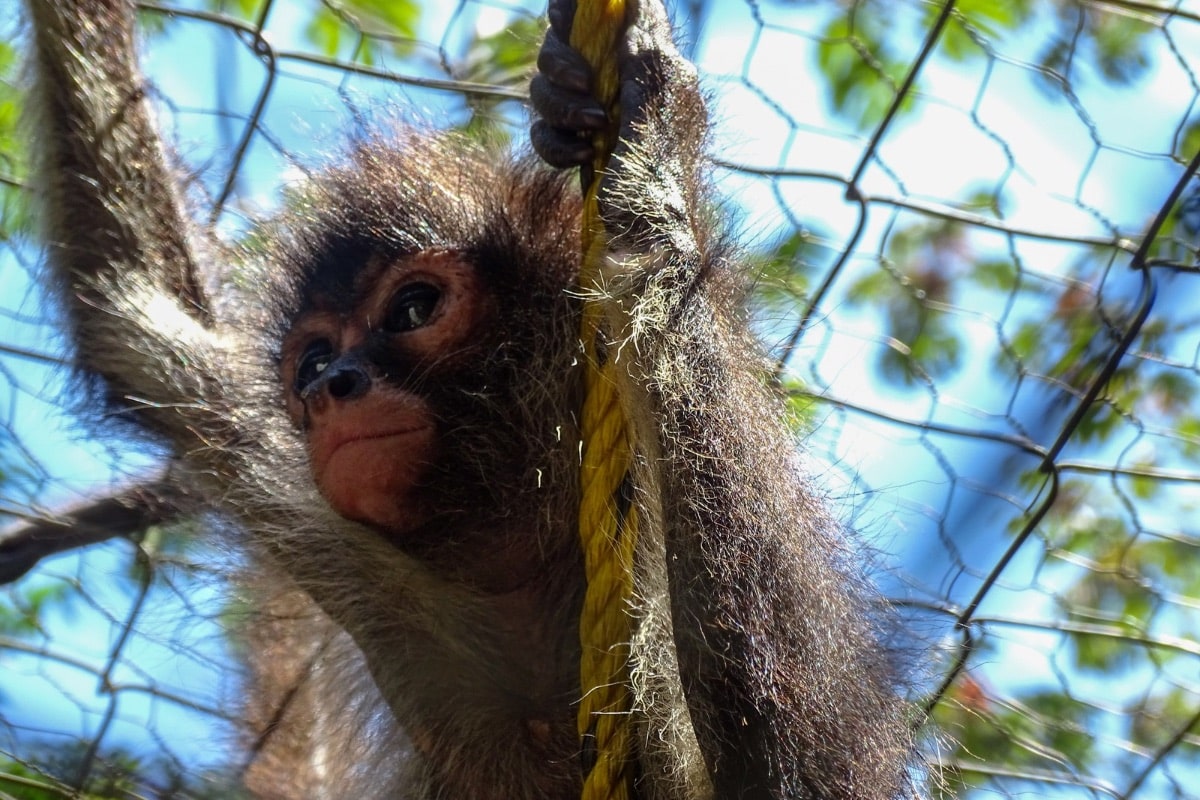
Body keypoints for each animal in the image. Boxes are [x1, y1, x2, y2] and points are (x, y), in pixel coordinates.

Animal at [22, 0, 918, 797]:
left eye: (414, 310)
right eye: (312, 362)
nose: (334, 387)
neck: (520, 575)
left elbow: (796, 776)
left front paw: (653, 143)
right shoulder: (314, 508)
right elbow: (122, 301)